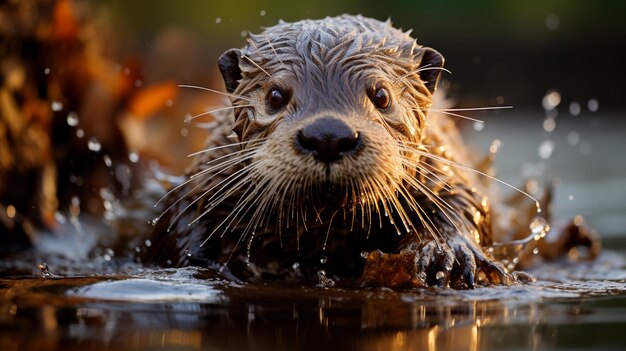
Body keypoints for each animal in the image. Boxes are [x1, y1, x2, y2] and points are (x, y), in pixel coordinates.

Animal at [144, 14, 596, 288]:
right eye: (274, 96)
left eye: (381, 95)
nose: (328, 134)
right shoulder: (213, 170)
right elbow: (176, 216)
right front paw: (208, 260)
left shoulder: (441, 161)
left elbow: (465, 201)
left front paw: (446, 251)